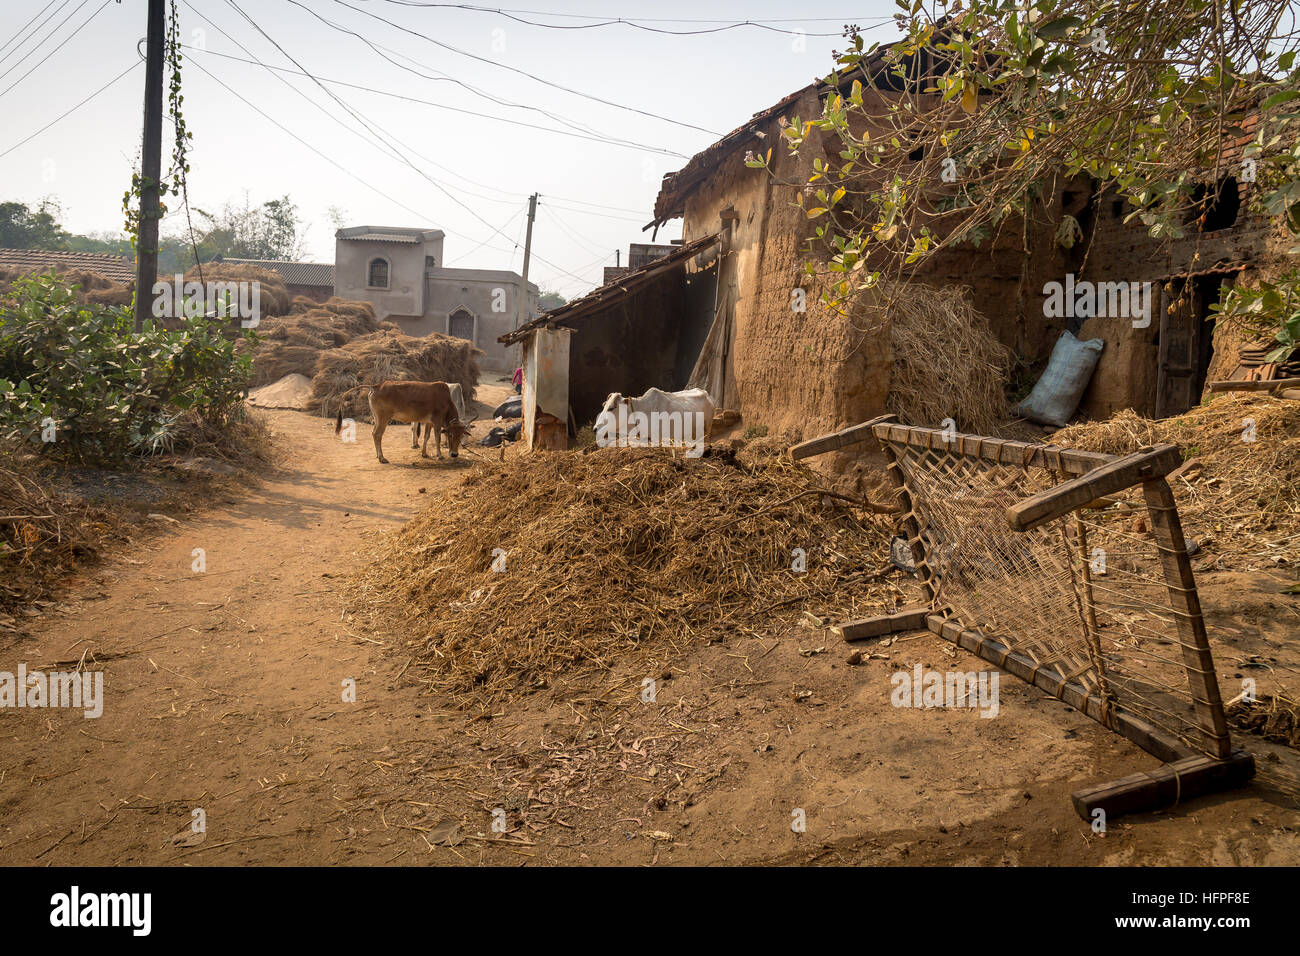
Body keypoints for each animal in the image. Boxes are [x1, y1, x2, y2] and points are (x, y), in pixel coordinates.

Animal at [335, 382, 473, 463]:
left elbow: (426, 437)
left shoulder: (429, 423)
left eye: (462, 435)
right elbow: (437, 438)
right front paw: (439, 455)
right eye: (450, 435)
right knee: (377, 435)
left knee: (374, 434)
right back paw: (382, 458)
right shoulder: (437, 422)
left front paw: (424, 453)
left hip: (377, 418)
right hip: (384, 418)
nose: (454, 454)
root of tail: (376, 386)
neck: (446, 401)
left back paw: (378, 456)